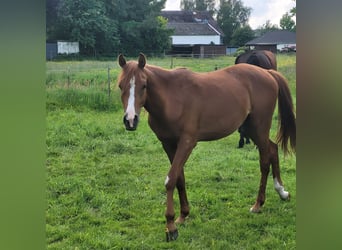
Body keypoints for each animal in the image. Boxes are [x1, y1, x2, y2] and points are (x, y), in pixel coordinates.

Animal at [116, 53, 296, 242]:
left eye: (144, 85)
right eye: (120, 85)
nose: (130, 120)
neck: (171, 98)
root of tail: (268, 73)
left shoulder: (187, 143)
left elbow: (170, 180)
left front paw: (171, 227)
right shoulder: (168, 144)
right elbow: (179, 178)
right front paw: (183, 215)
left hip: (259, 128)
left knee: (265, 161)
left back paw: (258, 204)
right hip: (250, 129)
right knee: (273, 149)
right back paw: (282, 192)